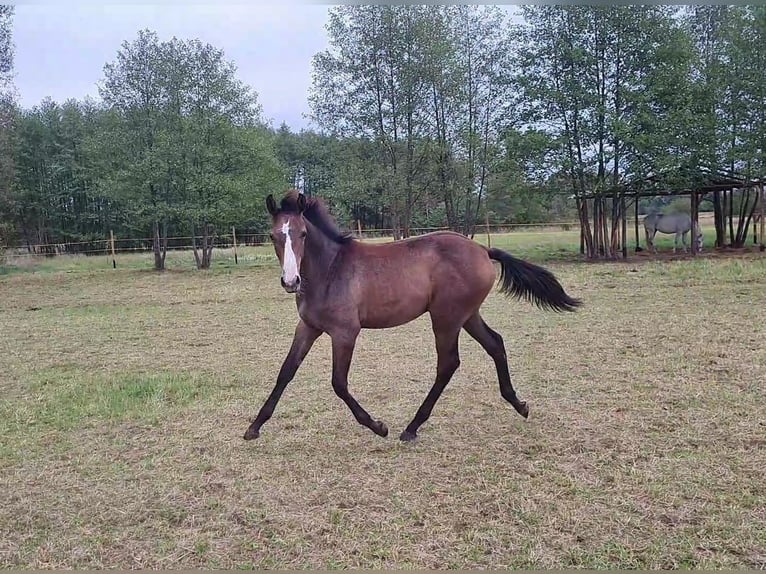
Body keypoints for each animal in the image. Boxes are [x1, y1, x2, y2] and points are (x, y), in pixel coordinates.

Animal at [242, 191, 584, 444]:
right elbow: (285, 372)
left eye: (302, 233)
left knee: (448, 363)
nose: (291, 281)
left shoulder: (345, 332)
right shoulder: (308, 327)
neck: (330, 270)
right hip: (467, 315)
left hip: (446, 317)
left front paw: (378, 426)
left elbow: (338, 383)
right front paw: (254, 427)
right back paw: (519, 404)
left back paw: (411, 427)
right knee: (495, 344)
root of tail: (482, 250)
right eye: (273, 236)